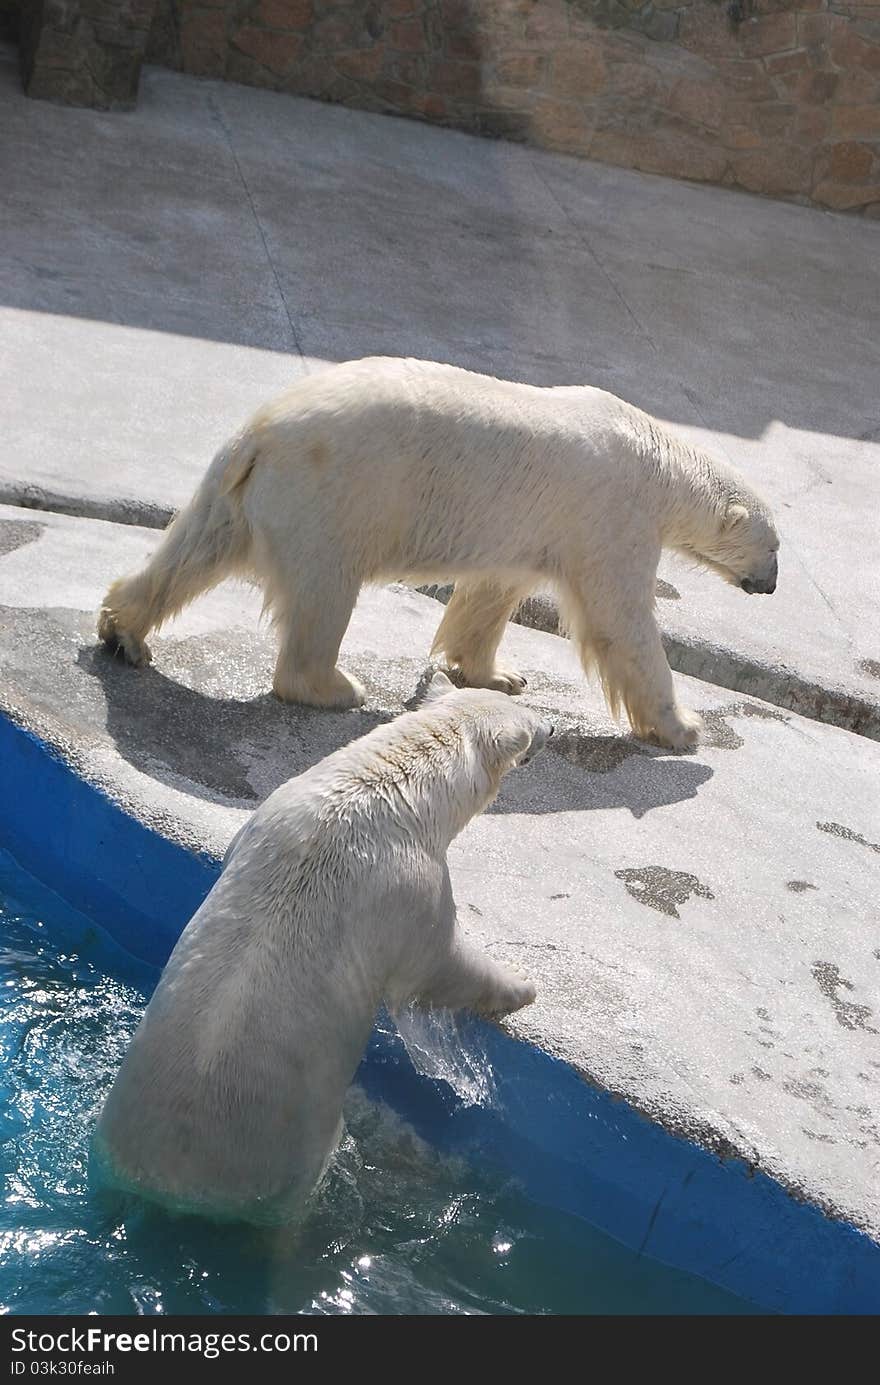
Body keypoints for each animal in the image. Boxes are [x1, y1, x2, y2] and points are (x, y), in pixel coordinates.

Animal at [94, 675, 551, 1229]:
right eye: (529, 723)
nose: (551, 727)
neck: (383, 790)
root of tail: (170, 1188)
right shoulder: (408, 885)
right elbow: (436, 962)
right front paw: (522, 984)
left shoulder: (271, 811)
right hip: (288, 1157)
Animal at [99, 354, 781, 747]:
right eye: (775, 548)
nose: (772, 584)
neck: (656, 458)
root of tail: (259, 433)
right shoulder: (611, 516)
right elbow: (621, 622)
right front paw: (683, 728)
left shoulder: (529, 527)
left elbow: (491, 594)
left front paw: (498, 675)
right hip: (335, 495)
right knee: (324, 595)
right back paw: (336, 688)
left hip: (239, 492)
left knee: (192, 551)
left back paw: (124, 632)